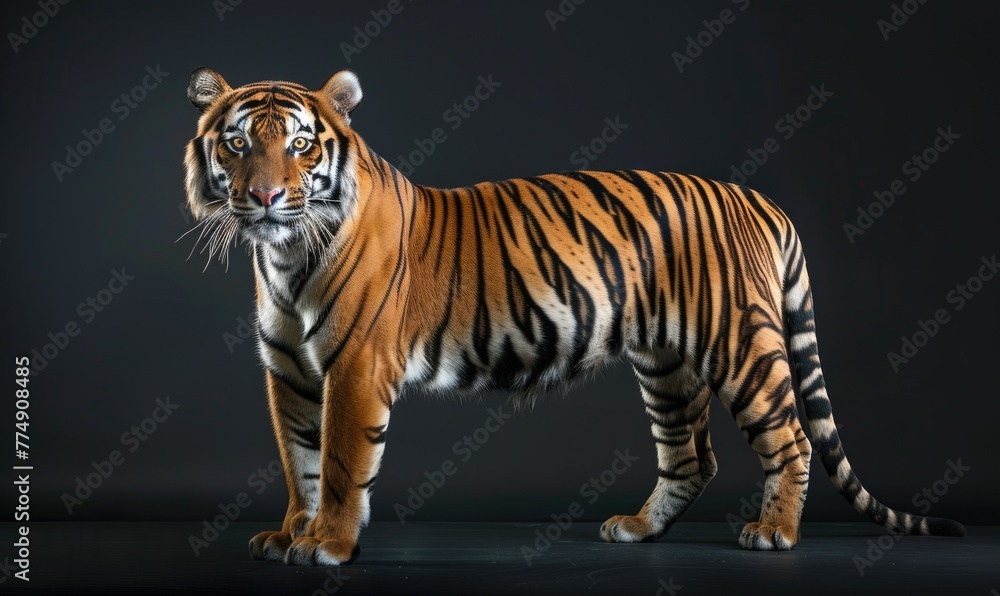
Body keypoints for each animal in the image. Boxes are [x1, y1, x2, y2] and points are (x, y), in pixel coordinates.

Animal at [183, 67, 964, 566]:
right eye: (238, 142)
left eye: (300, 144)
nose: (266, 198)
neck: (283, 257)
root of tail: (760, 200)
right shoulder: (288, 372)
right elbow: (300, 461)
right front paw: (291, 534)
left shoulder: (354, 368)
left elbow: (343, 464)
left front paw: (328, 546)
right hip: (666, 365)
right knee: (692, 454)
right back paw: (639, 529)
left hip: (740, 344)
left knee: (792, 439)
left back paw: (774, 533)